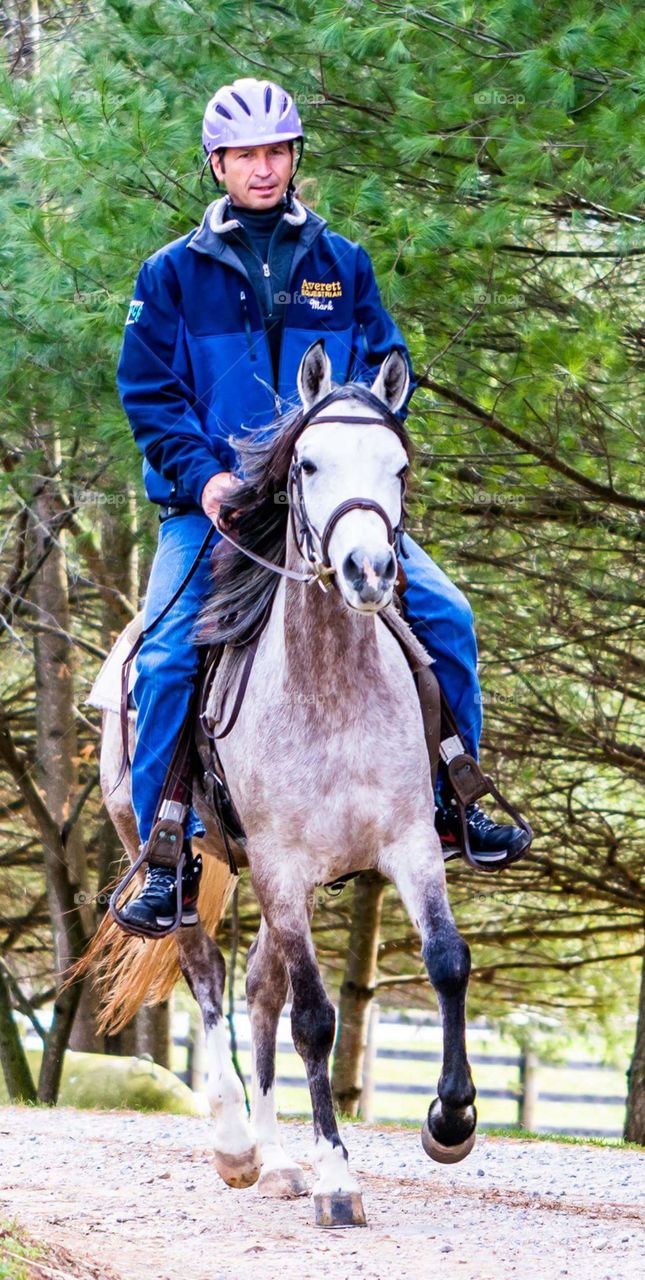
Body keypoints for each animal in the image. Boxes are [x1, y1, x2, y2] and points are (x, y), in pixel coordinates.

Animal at [89, 340, 477, 1229]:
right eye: (306, 463)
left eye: (399, 466)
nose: (367, 569)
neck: (329, 685)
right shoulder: (281, 863)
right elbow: (313, 1018)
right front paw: (337, 1177)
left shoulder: (408, 845)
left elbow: (445, 961)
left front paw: (450, 1120)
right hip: (181, 860)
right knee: (208, 977)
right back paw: (237, 1147)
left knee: (259, 986)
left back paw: (273, 1156)